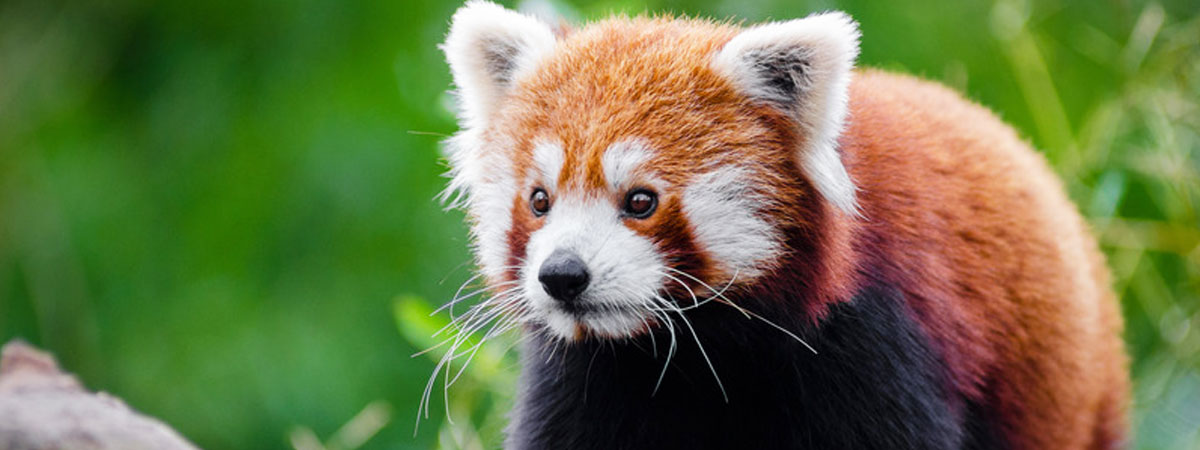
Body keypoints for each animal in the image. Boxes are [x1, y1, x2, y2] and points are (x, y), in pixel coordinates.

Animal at [436, 1, 1128, 448]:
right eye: (539, 200)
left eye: (640, 201)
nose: (562, 276)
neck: (698, 353)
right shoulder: (584, 376)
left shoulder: (876, 338)